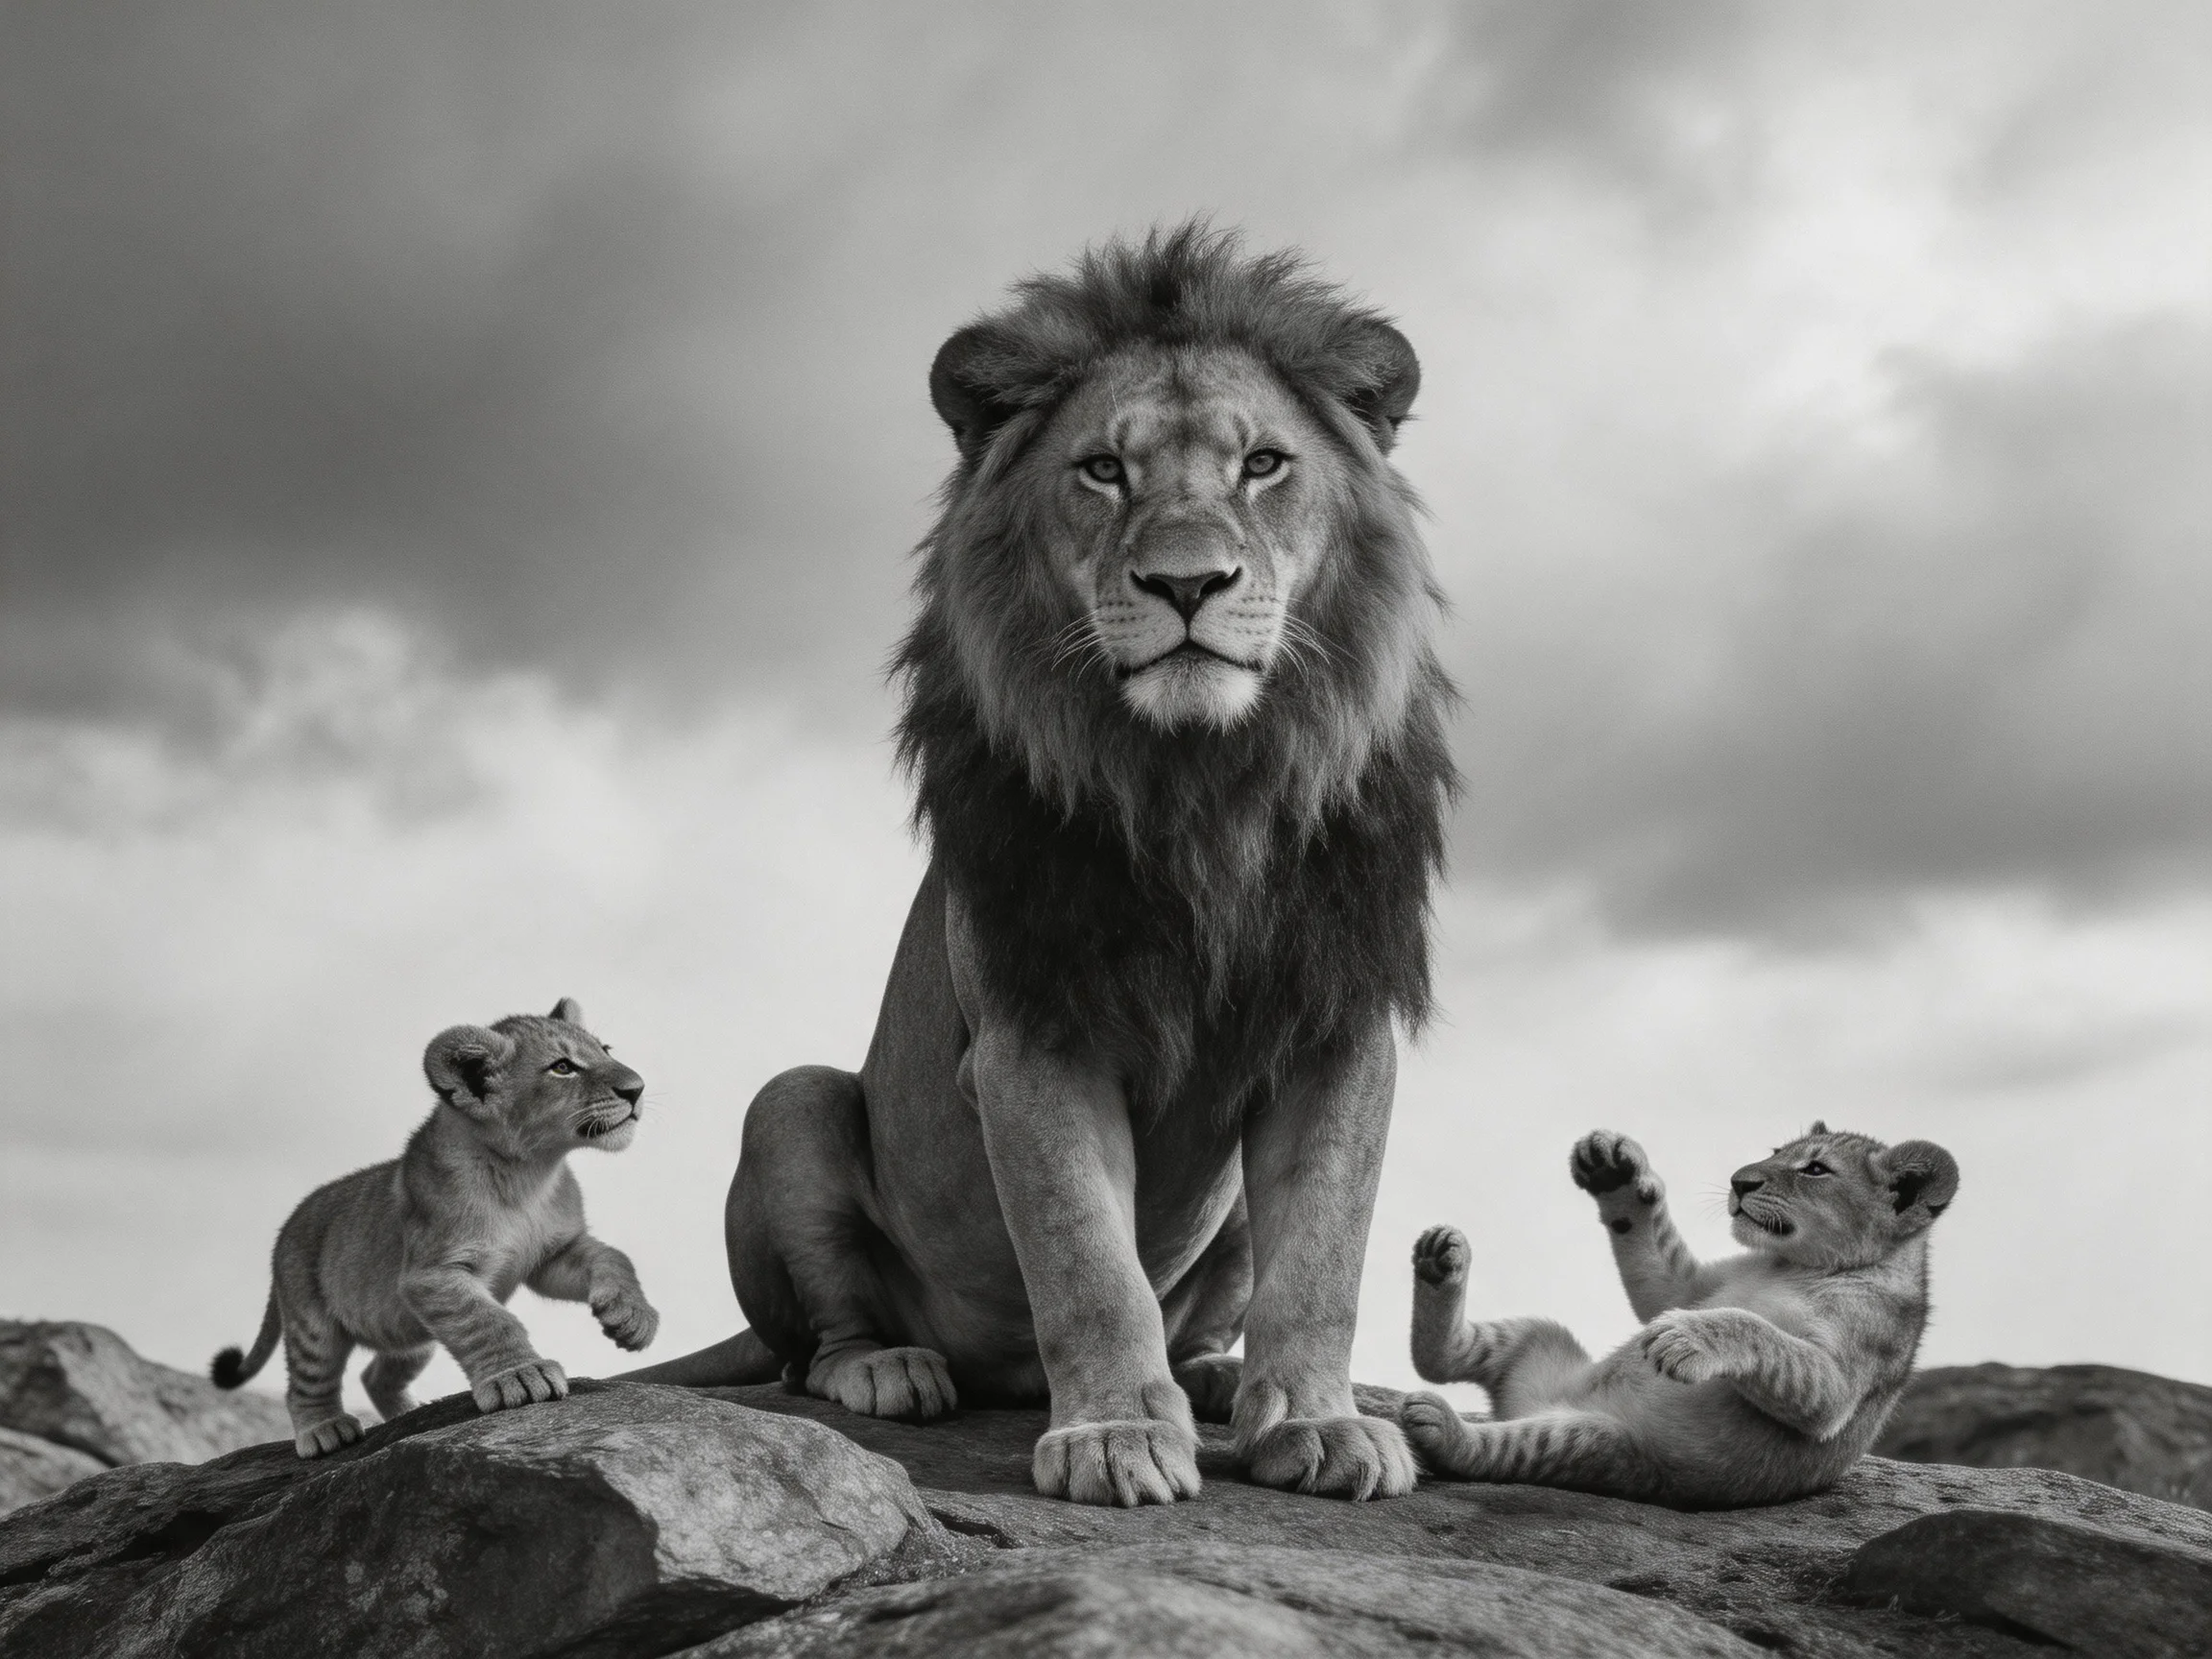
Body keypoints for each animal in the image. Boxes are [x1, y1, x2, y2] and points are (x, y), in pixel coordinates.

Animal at [212, 998, 659, 1456]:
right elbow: (490, 1321)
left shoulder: (552, 1254)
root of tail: (285, 1228)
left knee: (376, 1375)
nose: (637, 1088)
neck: (529, 1175)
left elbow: (613, 1257)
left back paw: (412, 1413)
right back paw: (324, 1430)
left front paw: (633, 1317)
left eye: (605, 1050)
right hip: (311, 1318)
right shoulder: (432, 1275)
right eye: (563, 1067)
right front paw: (519, 1375)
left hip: (411, 1332)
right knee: (307, 1380)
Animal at [628, 224, 1456, 1507]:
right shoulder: (1036, 1033)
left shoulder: (1335, 1024)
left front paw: (1320, 1422)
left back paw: (1227, 1381)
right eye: (1103, 470)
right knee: (812, 1344)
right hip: (793, 1102)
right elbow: (1085, 1262)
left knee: (1211, 1314)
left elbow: (1325, 1254)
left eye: (1264, 465)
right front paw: (1114, 1432)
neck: (1204, 785)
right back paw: (894, 1370)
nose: (1186, 584)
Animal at [1399, 1124, 1959, 1506]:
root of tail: (1531, 1406)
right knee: (1436, 1360)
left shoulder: (1841, 1380)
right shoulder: (1691, 1288)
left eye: (1816, 1169)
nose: (1739, 1181)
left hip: (1604, 1447)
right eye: (1776, 1152)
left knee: (1494, 1450)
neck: (1791, 1265)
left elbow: (1755, 1329)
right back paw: (1440, 1258)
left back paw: (1439, 1424)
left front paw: (1683, 1341)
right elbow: (1659, 1276)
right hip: (1539, 1338)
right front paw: (1614, 1169)